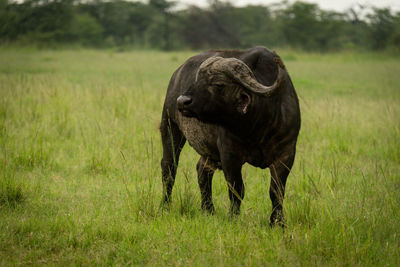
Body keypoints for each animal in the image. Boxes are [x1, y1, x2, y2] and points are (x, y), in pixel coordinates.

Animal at [159, 46, 300, 226]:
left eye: (219, 84)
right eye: (198, 79)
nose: (182, 101)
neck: (258, 125)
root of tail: (176, 74)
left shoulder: (286, 154)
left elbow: (277, 191)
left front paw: (277, 222)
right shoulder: (229, 155)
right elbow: (237, 189)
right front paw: (233, 217)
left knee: (202, 170)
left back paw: (208, 210)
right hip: (170, 127)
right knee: (169, 168)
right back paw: (165, 205)